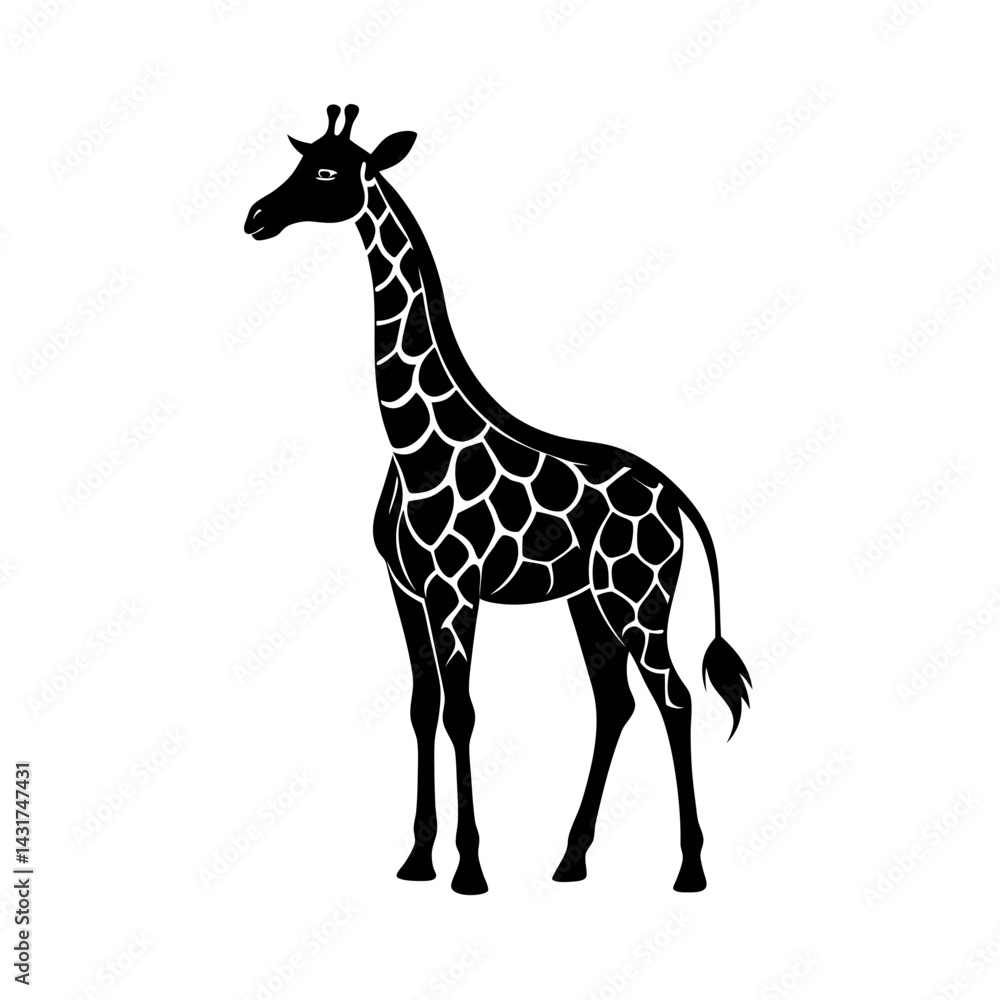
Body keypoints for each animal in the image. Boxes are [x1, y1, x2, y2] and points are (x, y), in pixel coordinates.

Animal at [245, 104, 751, 895]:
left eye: (325, 172)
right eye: (297, 164)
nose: (257, 217)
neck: (410, 442)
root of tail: (674, 495)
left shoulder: (457, 587)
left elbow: (462, 712)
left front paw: (470, 869)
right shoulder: (405, 586)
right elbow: (423, 707)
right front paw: (417, 859)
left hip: (640, 599)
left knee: (674, 699)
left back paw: (690, 869)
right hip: (590, 601)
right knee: (616, 703)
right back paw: (571, 859)